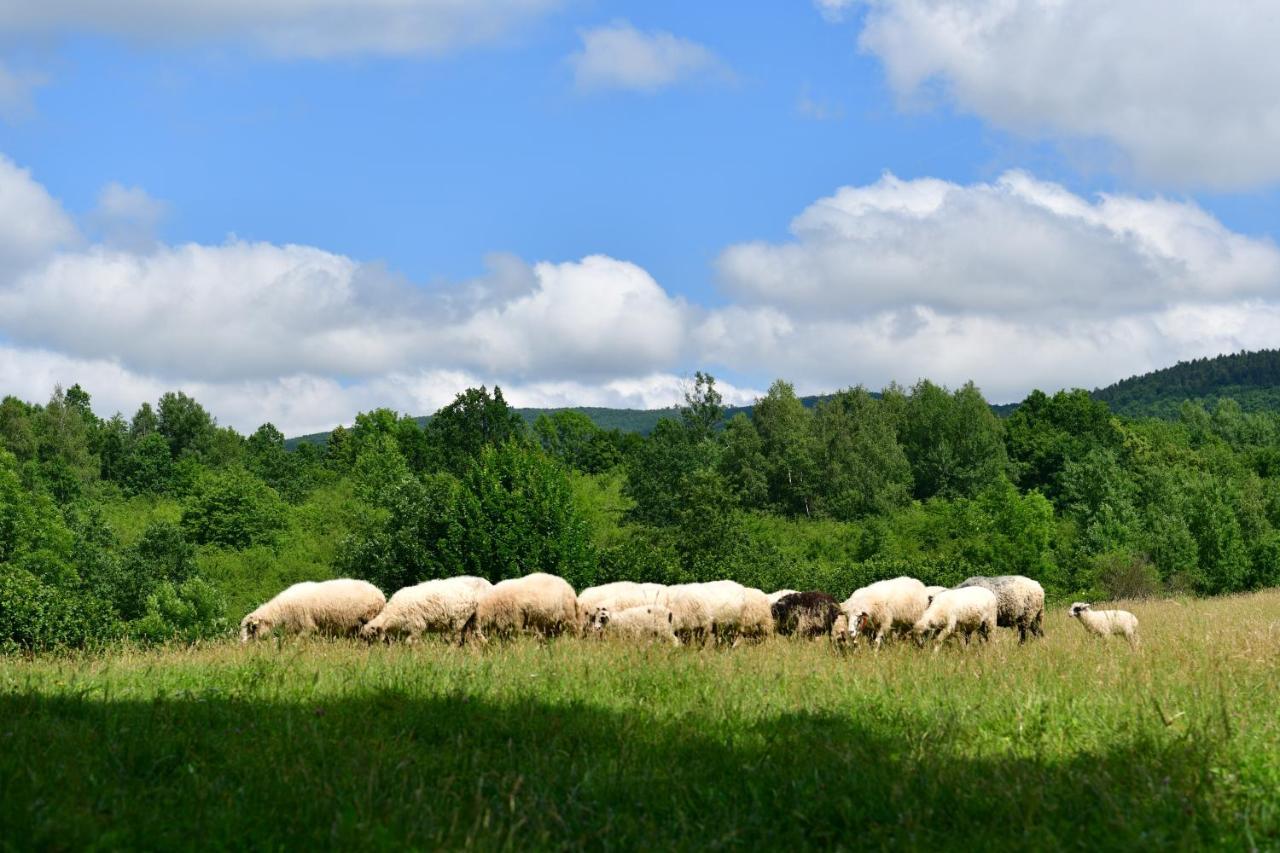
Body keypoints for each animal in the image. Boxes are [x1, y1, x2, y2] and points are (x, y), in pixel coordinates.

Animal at [240, 573, 384, 640]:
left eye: (251, 628)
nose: (243, 645)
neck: (282, 609)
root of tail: (379, 593)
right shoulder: (294, 628)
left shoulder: (307, 626)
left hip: (371, 618)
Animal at [363, 573, 496, 640]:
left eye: (370, 638)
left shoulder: (417, 625)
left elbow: (410, 642)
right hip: (469, 620)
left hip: (460, 619)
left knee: (458, 637)